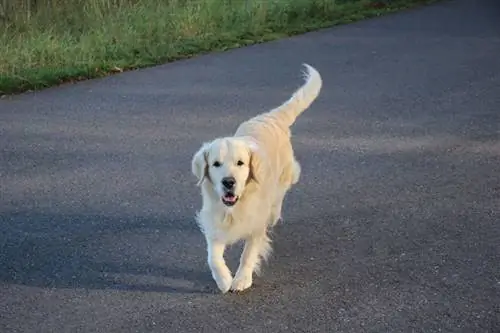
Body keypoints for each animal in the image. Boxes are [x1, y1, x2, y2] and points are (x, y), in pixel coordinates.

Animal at [189, 63, 322, 292]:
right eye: (216, 164)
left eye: (240, 163)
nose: (228, 182)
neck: (235, 207)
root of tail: (270, 118)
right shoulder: (214, 220)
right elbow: (212, 257)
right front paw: (224, 279)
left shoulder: (256, 224)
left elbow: (248, 253)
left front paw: (242, 279)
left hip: (285, 174)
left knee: (279, 196)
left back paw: (274, 215)